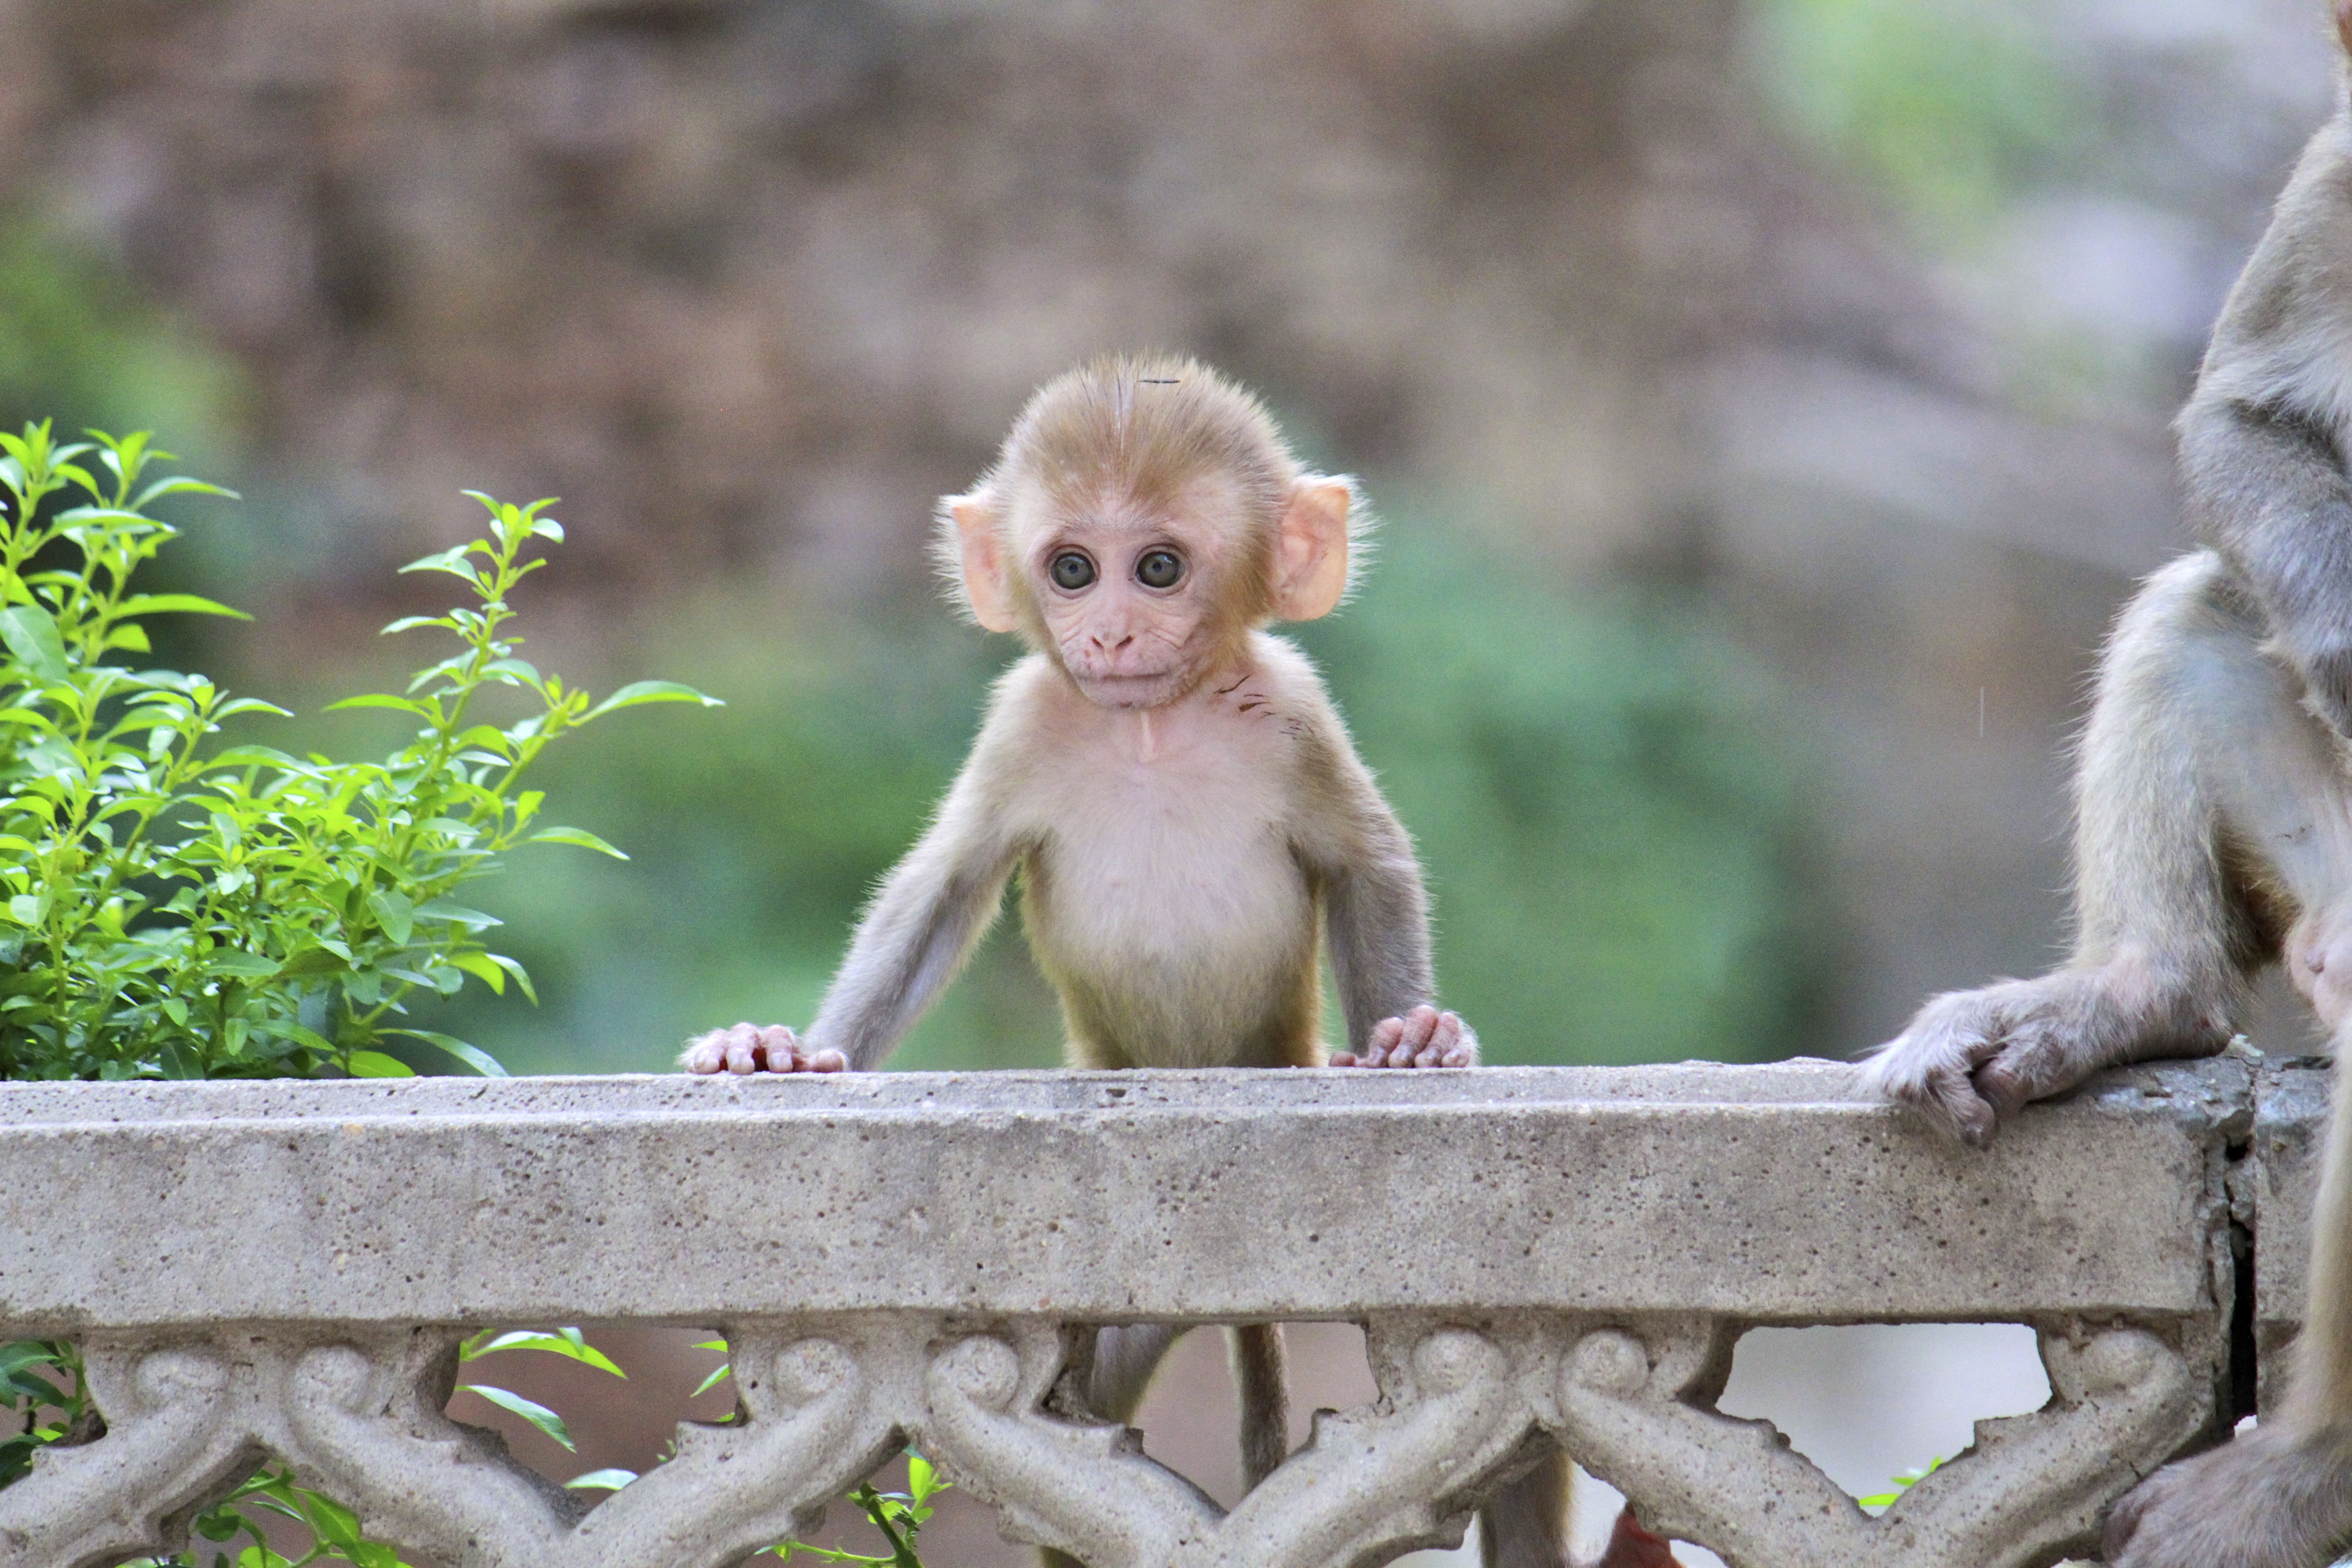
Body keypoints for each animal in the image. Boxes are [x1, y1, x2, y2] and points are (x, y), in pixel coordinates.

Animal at [682, 355, 1675, 1568]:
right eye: (1071, 568)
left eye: (1157, 567)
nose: (1109, 634)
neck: (1149, 726)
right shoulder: (1022, 721)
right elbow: (941, 892)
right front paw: (779, 1050)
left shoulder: (1295, 709)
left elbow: (1370, 865)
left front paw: (1414, 1039)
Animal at [1862, 9, 2352, 1561]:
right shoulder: (2346, 175)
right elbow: (2244, 413)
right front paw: (2351, 635)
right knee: (2197, 602)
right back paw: (2131, 993)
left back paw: (2303, 1470)